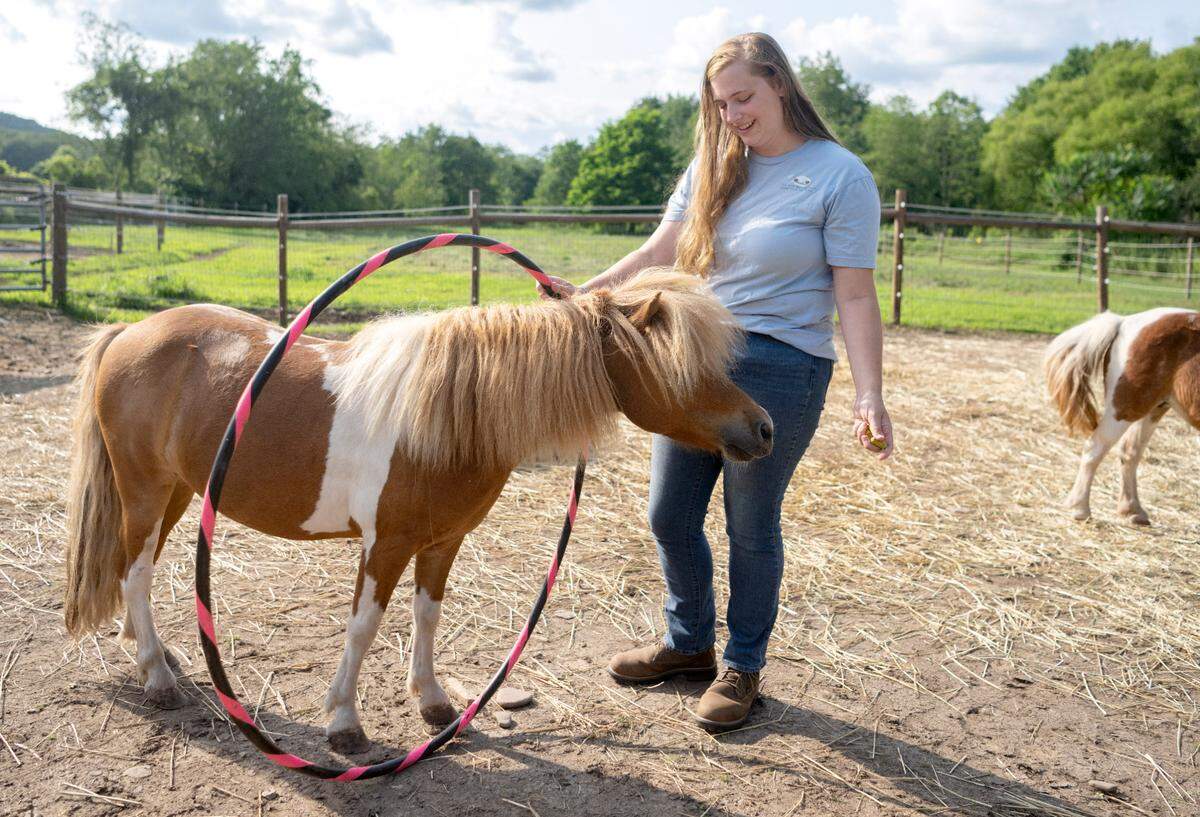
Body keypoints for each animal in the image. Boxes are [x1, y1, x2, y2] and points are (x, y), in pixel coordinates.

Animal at [63, 268, 773, 753]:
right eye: (682, 366)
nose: (763, 429)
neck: (451, 414)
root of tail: (131, 332)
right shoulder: (385, 546)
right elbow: (363, 628)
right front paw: (344, 723)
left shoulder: (441, 542)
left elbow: (427, 617)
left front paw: (432, 703)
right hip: (146, 488)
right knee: (135, 571)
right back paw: (157, 678)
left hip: (178, 492)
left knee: (134, 567)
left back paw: (150, 653)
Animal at [1044, 307, 1200, 525]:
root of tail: (1124, 322)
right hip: (1124, 408)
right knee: (1095, 448)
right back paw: (1080, 509)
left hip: (1153, 408)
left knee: (1129, 452)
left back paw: (1132, 510)